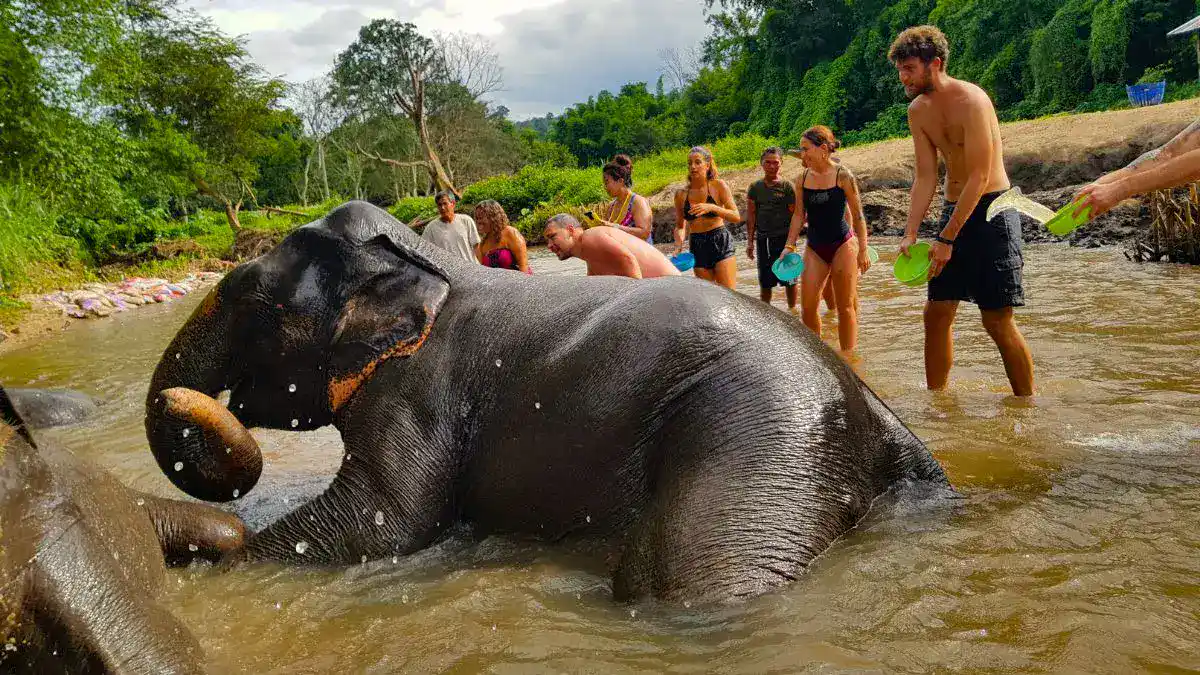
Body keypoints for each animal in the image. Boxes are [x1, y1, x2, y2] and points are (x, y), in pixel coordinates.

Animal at [142, 198, 945, 598]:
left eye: (247, 299)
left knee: (686, 576)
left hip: (765, 435)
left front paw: (216, 565)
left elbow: (379, 524)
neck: (426, 265)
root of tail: (876, 413)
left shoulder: (417, 389)